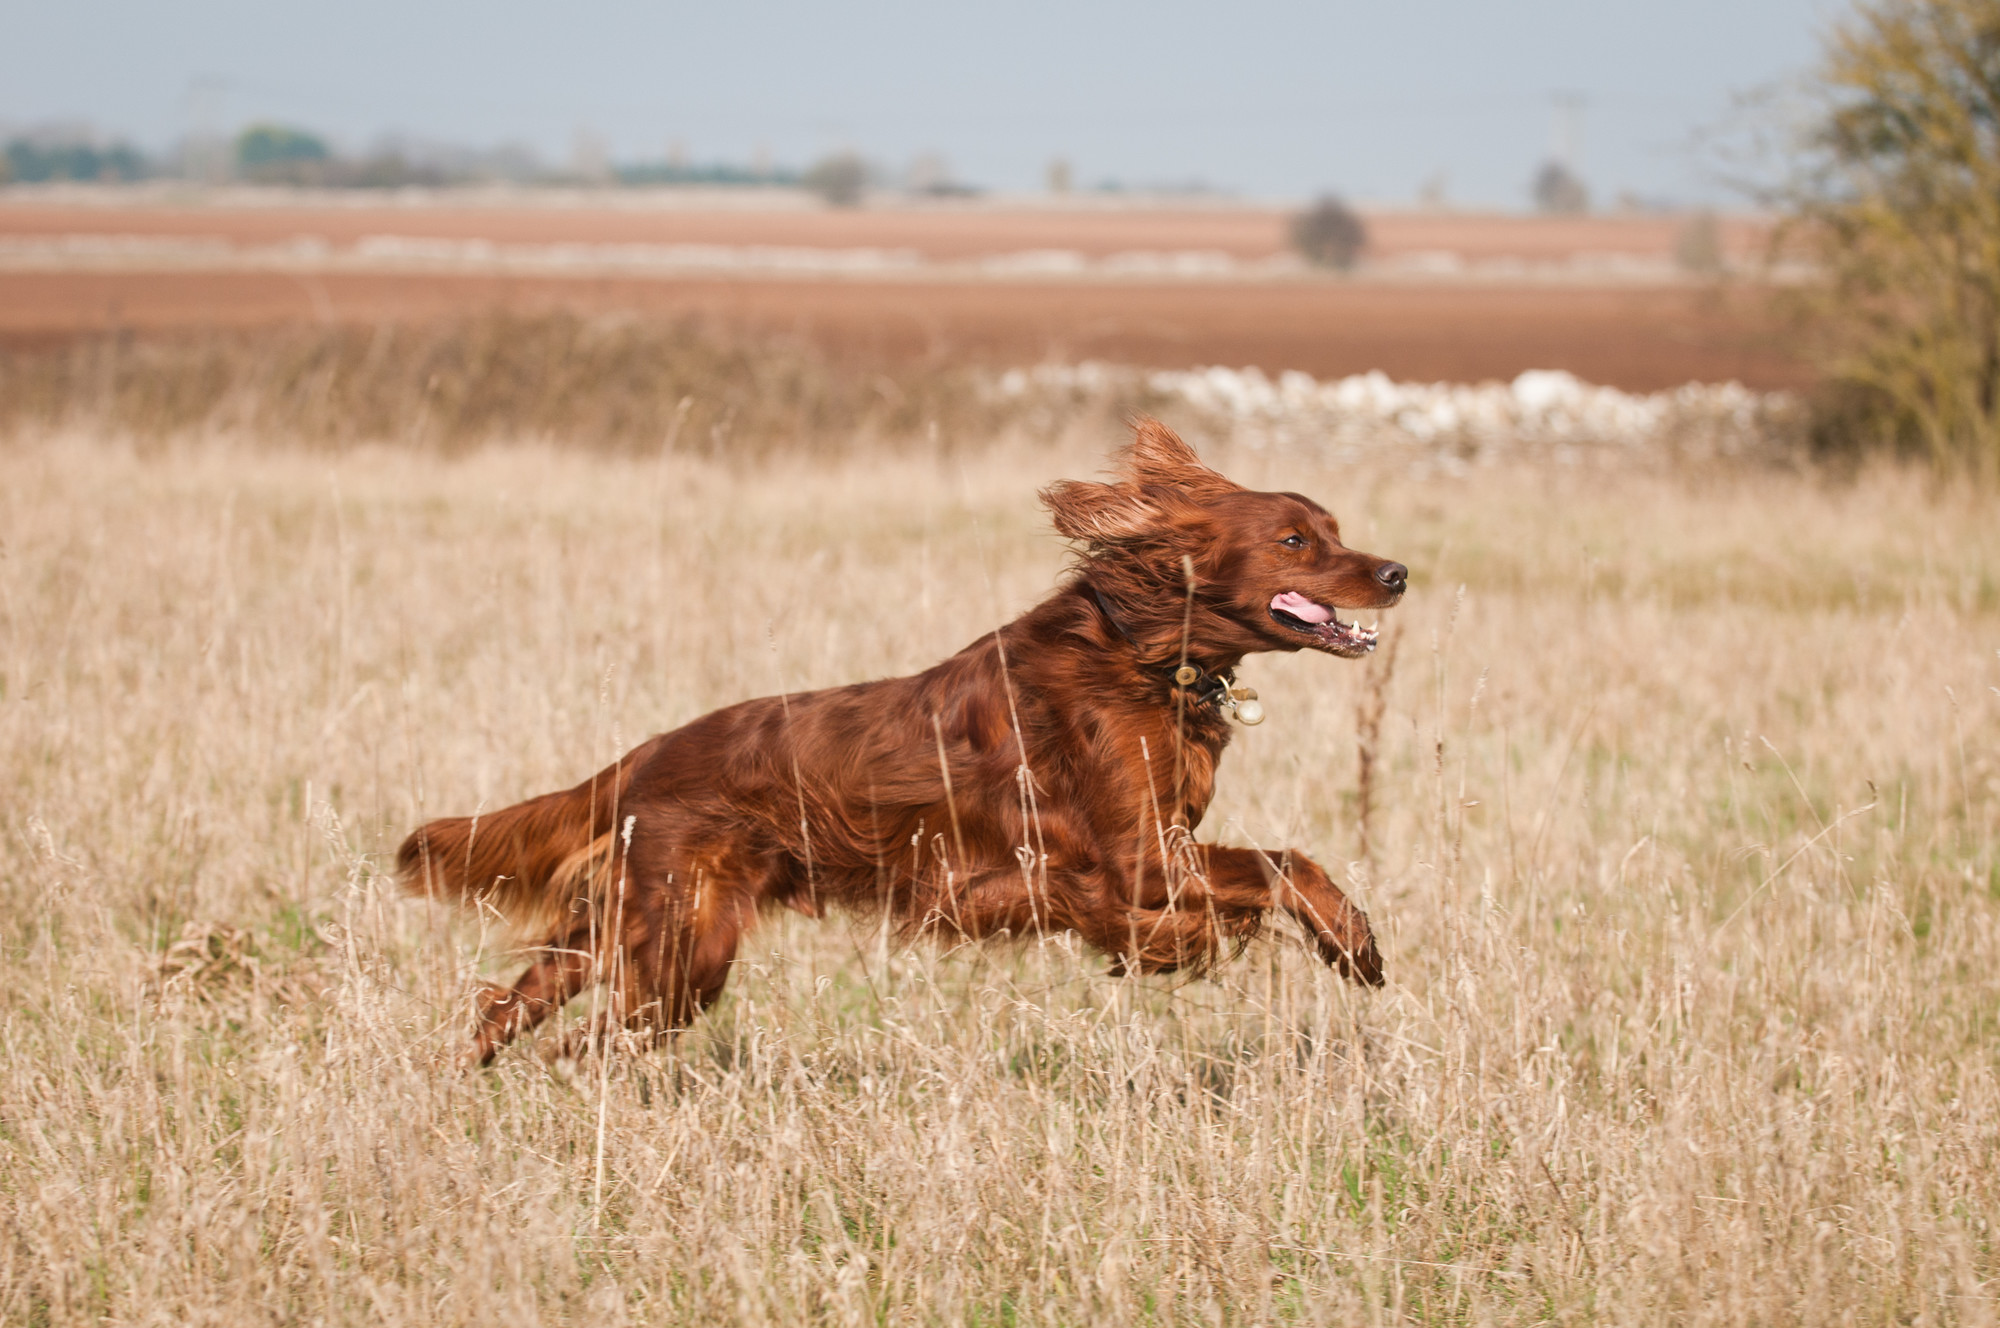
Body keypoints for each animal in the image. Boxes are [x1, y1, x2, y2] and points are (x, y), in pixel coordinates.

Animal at [398, 420, 1408, 1064]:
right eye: (1295, 540)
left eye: (1334, 531)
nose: (1397, 572)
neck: (1138, 652)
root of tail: (645, 755)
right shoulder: (1140, 856)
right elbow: (1286, 864)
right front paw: (1352, 947)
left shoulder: (1140, 862)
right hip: (686, 943)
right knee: (593, 1038)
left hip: (629, 927)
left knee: (513, 1003)